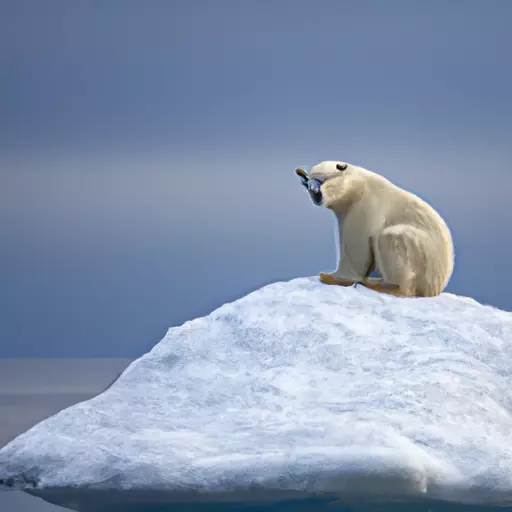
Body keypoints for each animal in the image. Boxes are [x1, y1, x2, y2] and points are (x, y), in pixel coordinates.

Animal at [296, 162, 456, 298]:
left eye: (323, 180)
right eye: (307, 183)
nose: (315, 194)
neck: (357, 185)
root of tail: (437, 288)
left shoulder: (363, 204)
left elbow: (356, 246)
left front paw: (329, 277)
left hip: (426, 260)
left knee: (392, 238)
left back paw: (379, 284)